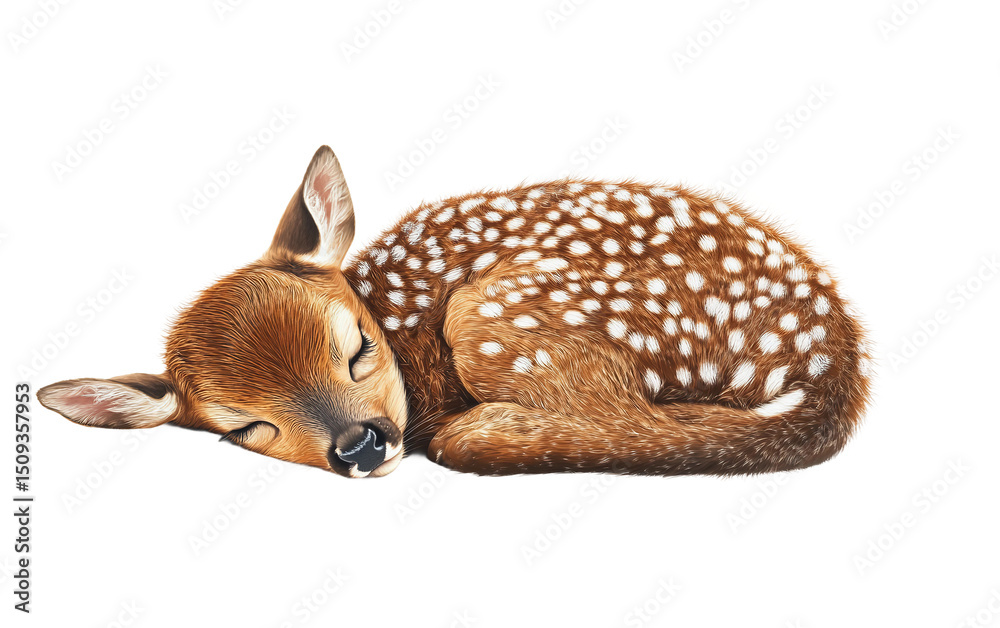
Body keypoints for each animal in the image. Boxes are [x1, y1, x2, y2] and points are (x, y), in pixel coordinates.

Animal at [38, 146, 873, 478]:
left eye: (358, 347)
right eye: (246, 429)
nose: (359, 446)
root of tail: (837, 353)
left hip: (504, 313)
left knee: (632, 423)